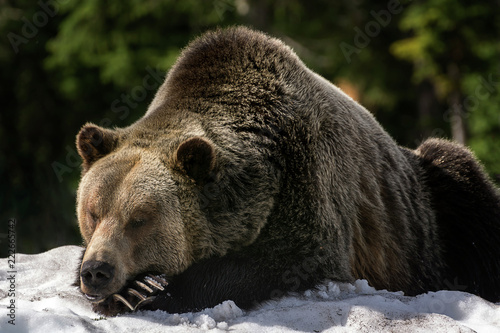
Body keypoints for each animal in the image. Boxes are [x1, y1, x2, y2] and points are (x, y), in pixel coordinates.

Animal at [74, 26, 500, 314]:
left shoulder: (305, 188)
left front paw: (143, 292)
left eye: (139, 219)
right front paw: (131, 289)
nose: (97, 271)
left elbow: (276, 262)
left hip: (427, 213)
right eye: (93, 213)